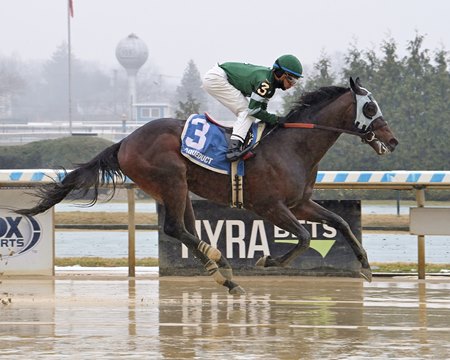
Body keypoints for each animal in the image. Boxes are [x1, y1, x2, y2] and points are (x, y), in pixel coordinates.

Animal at [17, 77, 398, 294]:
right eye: (370, 106)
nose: (392, 140)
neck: (293, 147)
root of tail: (124, 140)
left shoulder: (299, 203)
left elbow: (340, 222)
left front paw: (366, 267)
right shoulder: (270, 206)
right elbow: (304, 237)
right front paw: (267, 261)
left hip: (181, 187)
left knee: (186, 228)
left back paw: (221, 269)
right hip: (170, 179)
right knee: (174, 227)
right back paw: (221, 267)